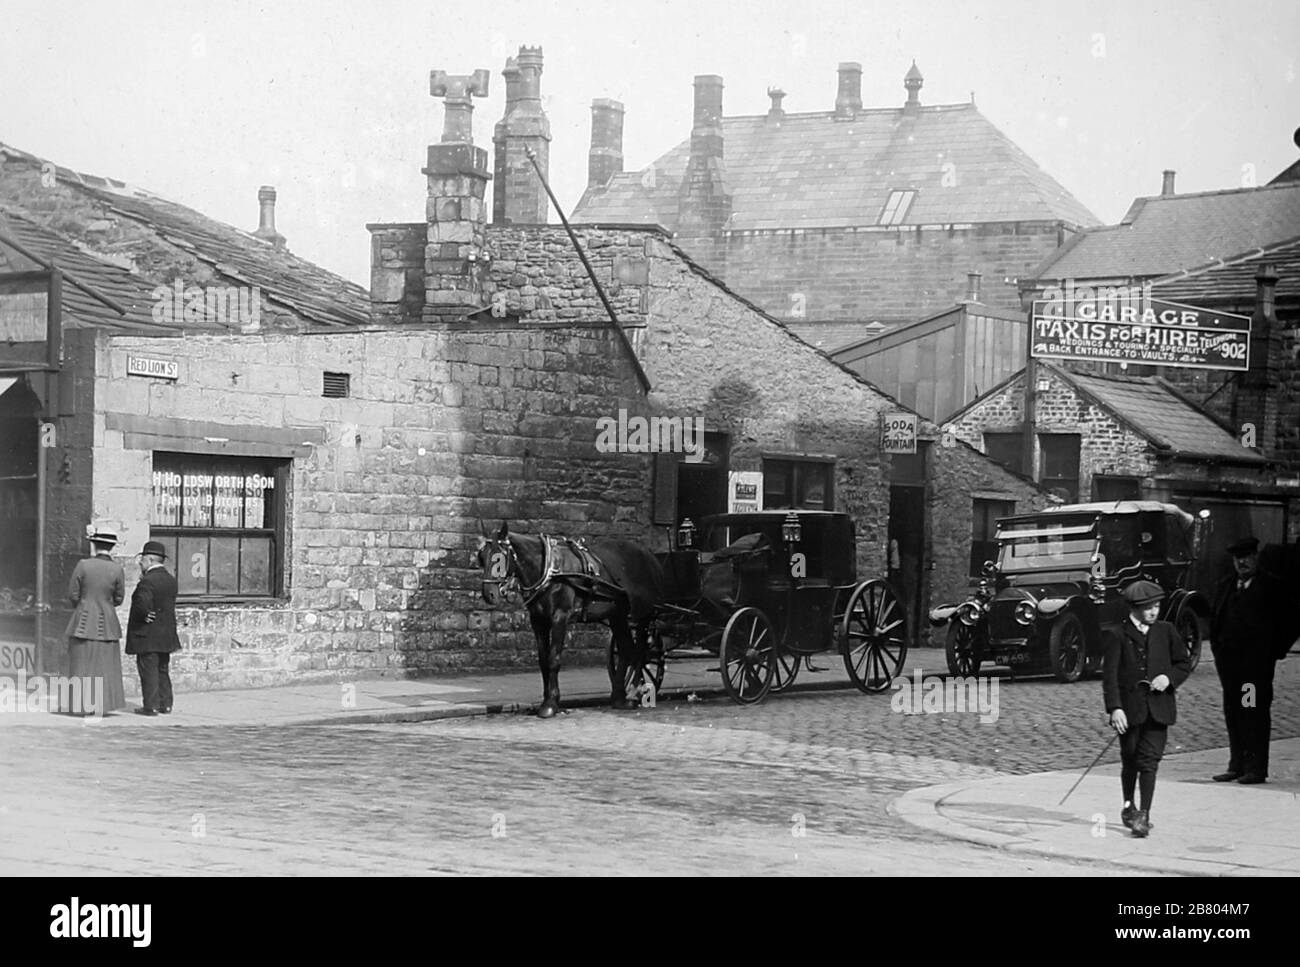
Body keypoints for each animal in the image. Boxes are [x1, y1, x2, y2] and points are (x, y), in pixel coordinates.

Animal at [473, 522, 665, 717]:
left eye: (499, 557)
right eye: (482, 557)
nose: (488, 594)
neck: (549, 569)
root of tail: (650, 556)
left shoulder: (560, 616)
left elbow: (553, 659)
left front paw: (550, 704)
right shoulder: (538, 620)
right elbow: (543, 660)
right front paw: (545, 700)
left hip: (643, 614)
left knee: (640, 652)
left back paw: (635, 692)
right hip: (617, 614)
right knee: (626, 649)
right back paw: (619, 697)